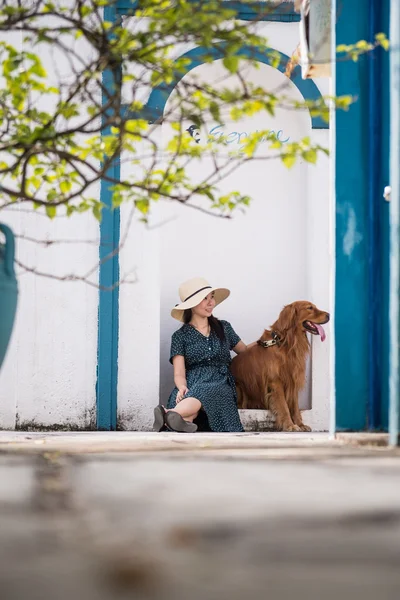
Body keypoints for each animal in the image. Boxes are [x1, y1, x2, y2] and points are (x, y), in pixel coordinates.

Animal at [231, 302, 328, 434]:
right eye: (310, 308)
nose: (329, 315)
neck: (286, 342)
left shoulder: (292, 380)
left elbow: (295, 406)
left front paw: (300, 424)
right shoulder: (275, 382)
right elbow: (284, 406)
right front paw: (290, 425)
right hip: (239, 387)